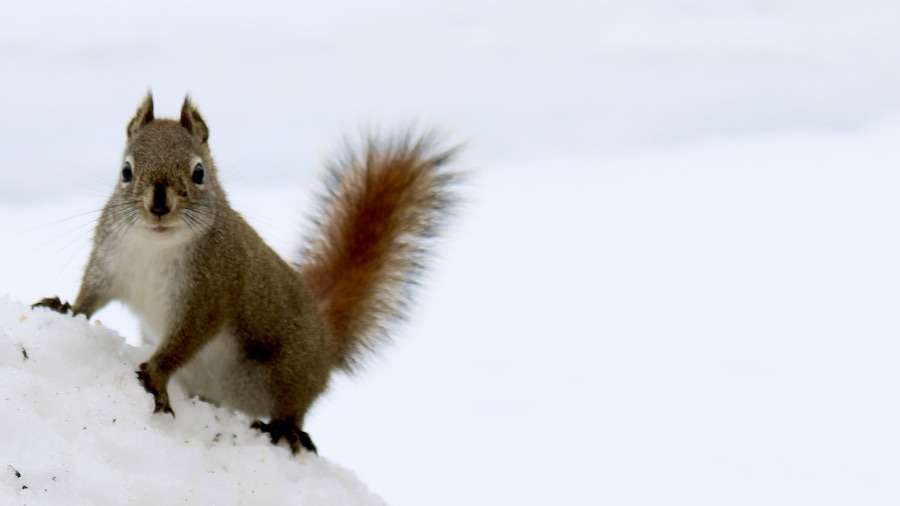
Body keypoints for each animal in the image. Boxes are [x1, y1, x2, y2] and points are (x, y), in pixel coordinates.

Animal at [32, 93, 460, 454]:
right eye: (125, 171)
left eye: (199, 173)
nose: (159, 204)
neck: (156, 246)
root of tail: (326, 341)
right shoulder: (110, 262)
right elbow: (91, 297)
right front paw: (66, 308)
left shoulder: (210, 291)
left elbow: (185, 341)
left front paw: (156, 375)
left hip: (288, 372)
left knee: (294, 406)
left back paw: (285, 429)